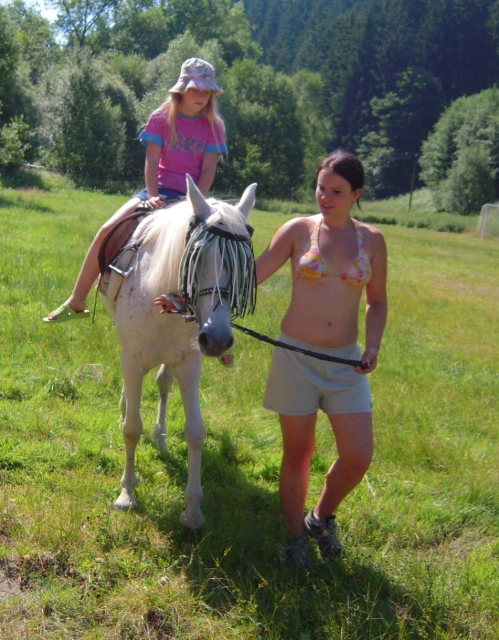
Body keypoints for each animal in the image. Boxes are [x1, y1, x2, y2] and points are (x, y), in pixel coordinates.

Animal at [99, 176, 257, 529]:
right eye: (196, 256)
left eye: (243, 264)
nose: (217, 339)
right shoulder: (132, 359)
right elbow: (131, 428)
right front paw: (126, 494)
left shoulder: (189, 363)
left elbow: (195, 432)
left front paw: (193, 510)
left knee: (162, 384)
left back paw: (159, 437)